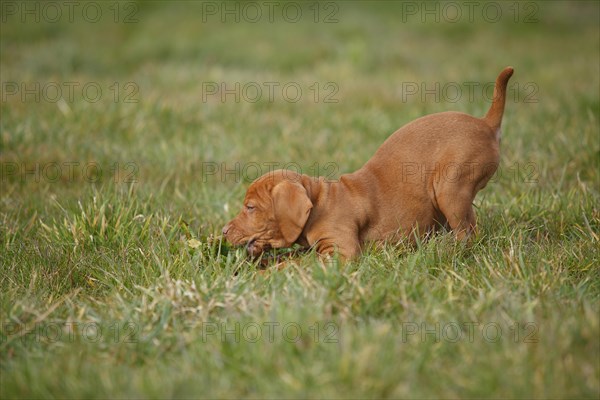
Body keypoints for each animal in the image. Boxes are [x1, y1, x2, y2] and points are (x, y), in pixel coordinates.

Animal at [223, 66, 512, 260]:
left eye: (250, 207)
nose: (224, 231)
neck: (320, 203)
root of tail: (485, 124)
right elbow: (292, 256)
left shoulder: (339, 253)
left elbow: (295, 264)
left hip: (450, 189)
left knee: (469, 233)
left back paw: (447, 251)